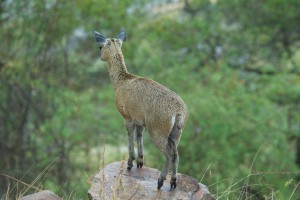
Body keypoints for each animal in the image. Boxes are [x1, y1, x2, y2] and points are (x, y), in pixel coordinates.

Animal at [94, 29, 188, 189]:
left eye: (101, 46)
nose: (100, 56)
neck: (121, 81)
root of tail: (179, 112)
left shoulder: (127, 116)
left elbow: (130, 138)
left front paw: (130, 163)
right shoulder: (140, 121)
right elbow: (139, 137)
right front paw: (140, 162)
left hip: (157, 130)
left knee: (169, 154)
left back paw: (161, 181)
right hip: (176, 133)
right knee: (176, 154)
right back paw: (173, 182)